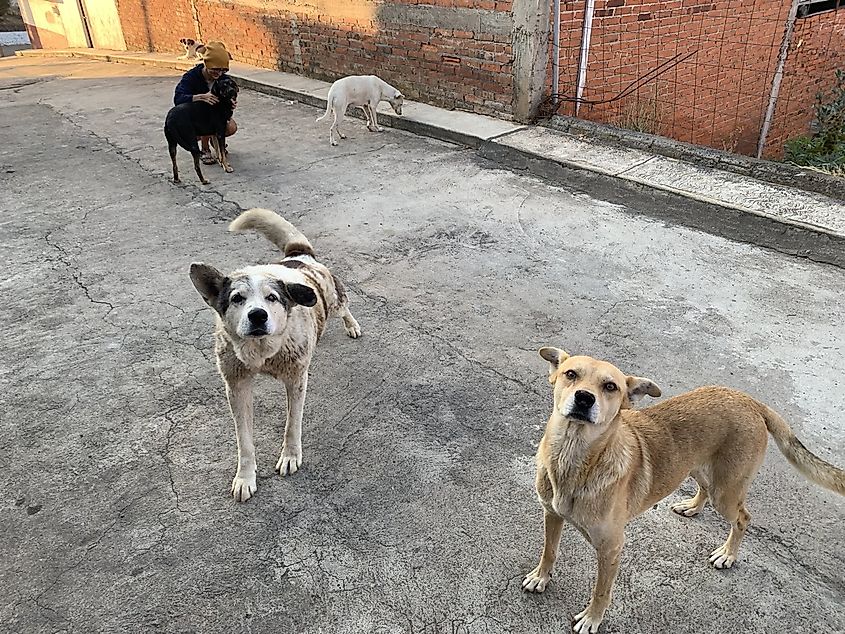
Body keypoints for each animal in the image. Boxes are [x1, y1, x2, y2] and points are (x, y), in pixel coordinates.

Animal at [188, 210, 360, 502]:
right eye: (237, 298)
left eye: (272, 298)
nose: (258, 315)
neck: (263, 352)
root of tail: (298, 256)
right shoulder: (237, 386)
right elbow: (244, 441)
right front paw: (245, 478)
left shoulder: (296, 380)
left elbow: (293, 423)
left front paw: (290, 456)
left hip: (333, 299)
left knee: (344, 307)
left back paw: (352, 325)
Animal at [520, 348, 844, 628]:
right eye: (570, 374)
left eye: (610, 386)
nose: (585, 398)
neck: (573, 459)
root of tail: (752, 402)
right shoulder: (551, 514)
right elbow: (549, 550)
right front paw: (541, 577)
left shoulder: (611, 548)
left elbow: (601, 591)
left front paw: (591, 619)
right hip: (697, 467)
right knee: (704, 488)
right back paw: (692, 506)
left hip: (726, 492)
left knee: (743, 518)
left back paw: (727, 554)